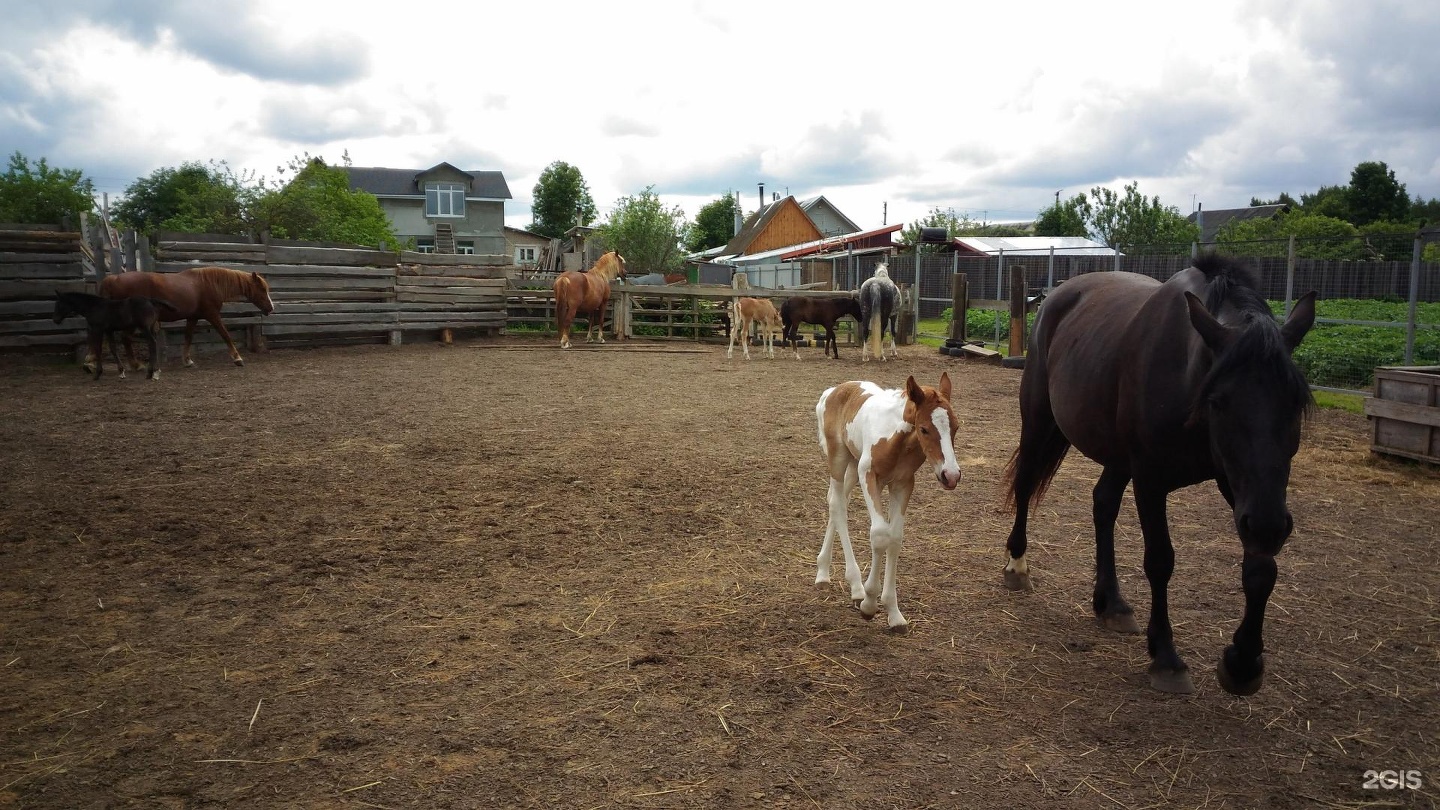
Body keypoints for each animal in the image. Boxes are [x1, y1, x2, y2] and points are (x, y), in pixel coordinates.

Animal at [97, 265, 275, 366]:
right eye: (262, 289)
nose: (271, 308)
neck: (209, 284)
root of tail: (112, 279)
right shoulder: (212, 315)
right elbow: (225, 334)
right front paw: (237, 358)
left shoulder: (193, 317)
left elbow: (188, 337)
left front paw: (187, 360)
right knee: (125, 338)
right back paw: (134, 364)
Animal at [817, 371, 961, 631]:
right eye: (924, 429)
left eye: (956, 427)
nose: (951, 475)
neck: (898, 441)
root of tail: (833, 391)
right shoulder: (869, 476)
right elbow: (879, 535)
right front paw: (869, 604)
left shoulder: (903, 485)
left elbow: (895, 538)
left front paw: (893, 613)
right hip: (839, 459)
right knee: (837, 506)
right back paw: (848, 583)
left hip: (853, 465)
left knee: (838, 501)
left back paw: (828, 574)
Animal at [1002, 253, 1319, 694]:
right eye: (1219, 401)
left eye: (1296, 401)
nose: (1270, 526)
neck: (1187, 372)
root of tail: (1057, 296)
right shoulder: (1151, 479)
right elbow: (1160, 559)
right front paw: (1167, 656)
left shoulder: (1241, 486)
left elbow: (1261, 569)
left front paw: (1243, 663)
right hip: (1039, 420)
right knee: (1027, 481)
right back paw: (1017, 566)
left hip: (1119, 456)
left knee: (1103, 505)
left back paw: (1112, 603)